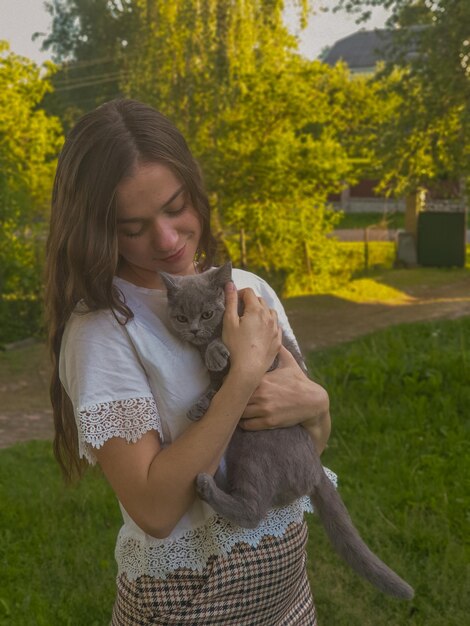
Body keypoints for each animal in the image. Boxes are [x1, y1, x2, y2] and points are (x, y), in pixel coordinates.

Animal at [162, 260, 414, 596]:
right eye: (181, 317)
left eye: (207, 314)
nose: (192, 329)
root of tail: (315, 466)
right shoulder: (221, 381)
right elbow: (215, 389)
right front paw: (200, 404)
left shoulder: (267, 354)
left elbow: (228, 354)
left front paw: (216, 352)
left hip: (256, 448)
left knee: (254, 511)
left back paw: (207, 484)